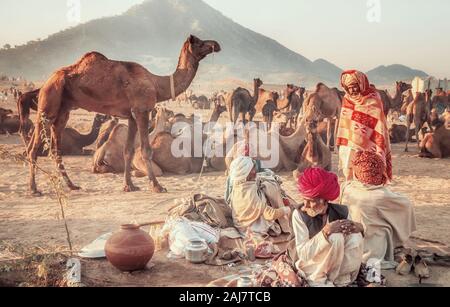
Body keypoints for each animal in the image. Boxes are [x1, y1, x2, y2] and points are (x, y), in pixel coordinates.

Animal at [27, 34, 221, 197]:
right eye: (200, 42)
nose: (216, 44)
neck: (157, 84)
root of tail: (47, 81)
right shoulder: (142, 111)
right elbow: (145, 150)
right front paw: (157, 186)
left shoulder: (131, 115)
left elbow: (128, 150)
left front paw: (129, 186)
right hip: (48, 105)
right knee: (33, 148)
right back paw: (34, 189)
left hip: (63, 111)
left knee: (55, 149)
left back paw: (71, 185)